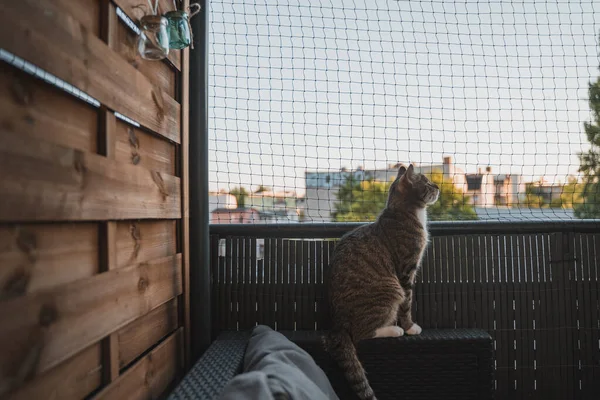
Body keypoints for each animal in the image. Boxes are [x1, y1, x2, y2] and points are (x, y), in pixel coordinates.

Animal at [324, 163, 440, 400]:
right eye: (427, 183)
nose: (438, 186)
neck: (404, 212)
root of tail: (337, 324)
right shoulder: (405, 271)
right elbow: (407, 304)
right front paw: (409, 327)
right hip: (391, 289)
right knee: (362, 334)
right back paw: (393, 330)